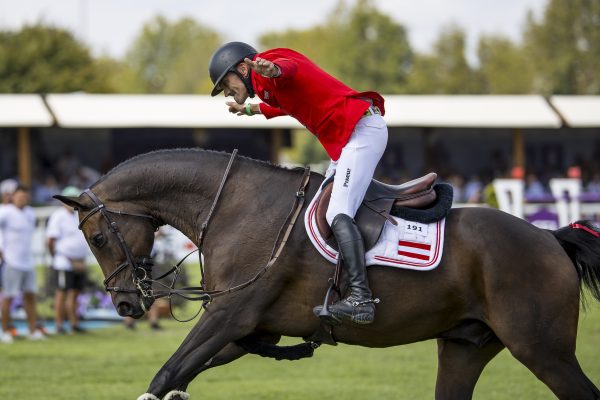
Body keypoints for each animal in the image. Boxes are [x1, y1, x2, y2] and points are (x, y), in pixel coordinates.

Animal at [57, 149, 600, 400]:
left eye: (97, 239)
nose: (125, 304)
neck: (236, 206)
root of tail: (549, 238)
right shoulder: (249, 331)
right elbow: (177, 376)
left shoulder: (228, 319)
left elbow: (167, 373)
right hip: (465, 348)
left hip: (542, 350)